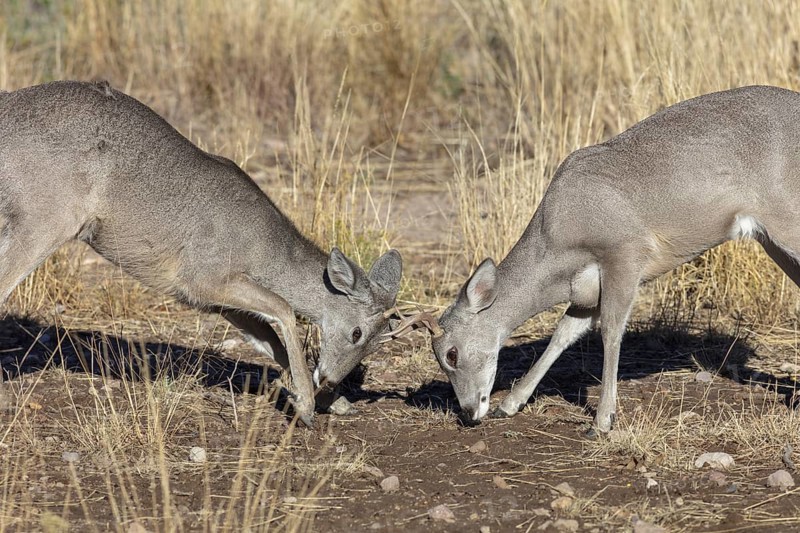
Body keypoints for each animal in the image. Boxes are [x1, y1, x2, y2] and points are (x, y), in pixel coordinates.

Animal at [0, 80, 404, 427]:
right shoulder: (201, 278)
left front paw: (331, 401)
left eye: (377, 342)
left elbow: (272, 342)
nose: (332, 378)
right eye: (356, 332)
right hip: (46, 221)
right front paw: (306, 406)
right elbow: (284, 310)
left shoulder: (221, 303)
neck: (262, 249)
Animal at [387, 85, 800, 434]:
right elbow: (564, 334)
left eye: (451, 353)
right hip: (772, 242)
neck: (559, 238)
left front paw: (602, 420)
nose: (470, 412)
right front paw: (512, 403)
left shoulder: (625, 253)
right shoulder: (586, 288)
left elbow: (611, 331)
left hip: (786, 224)